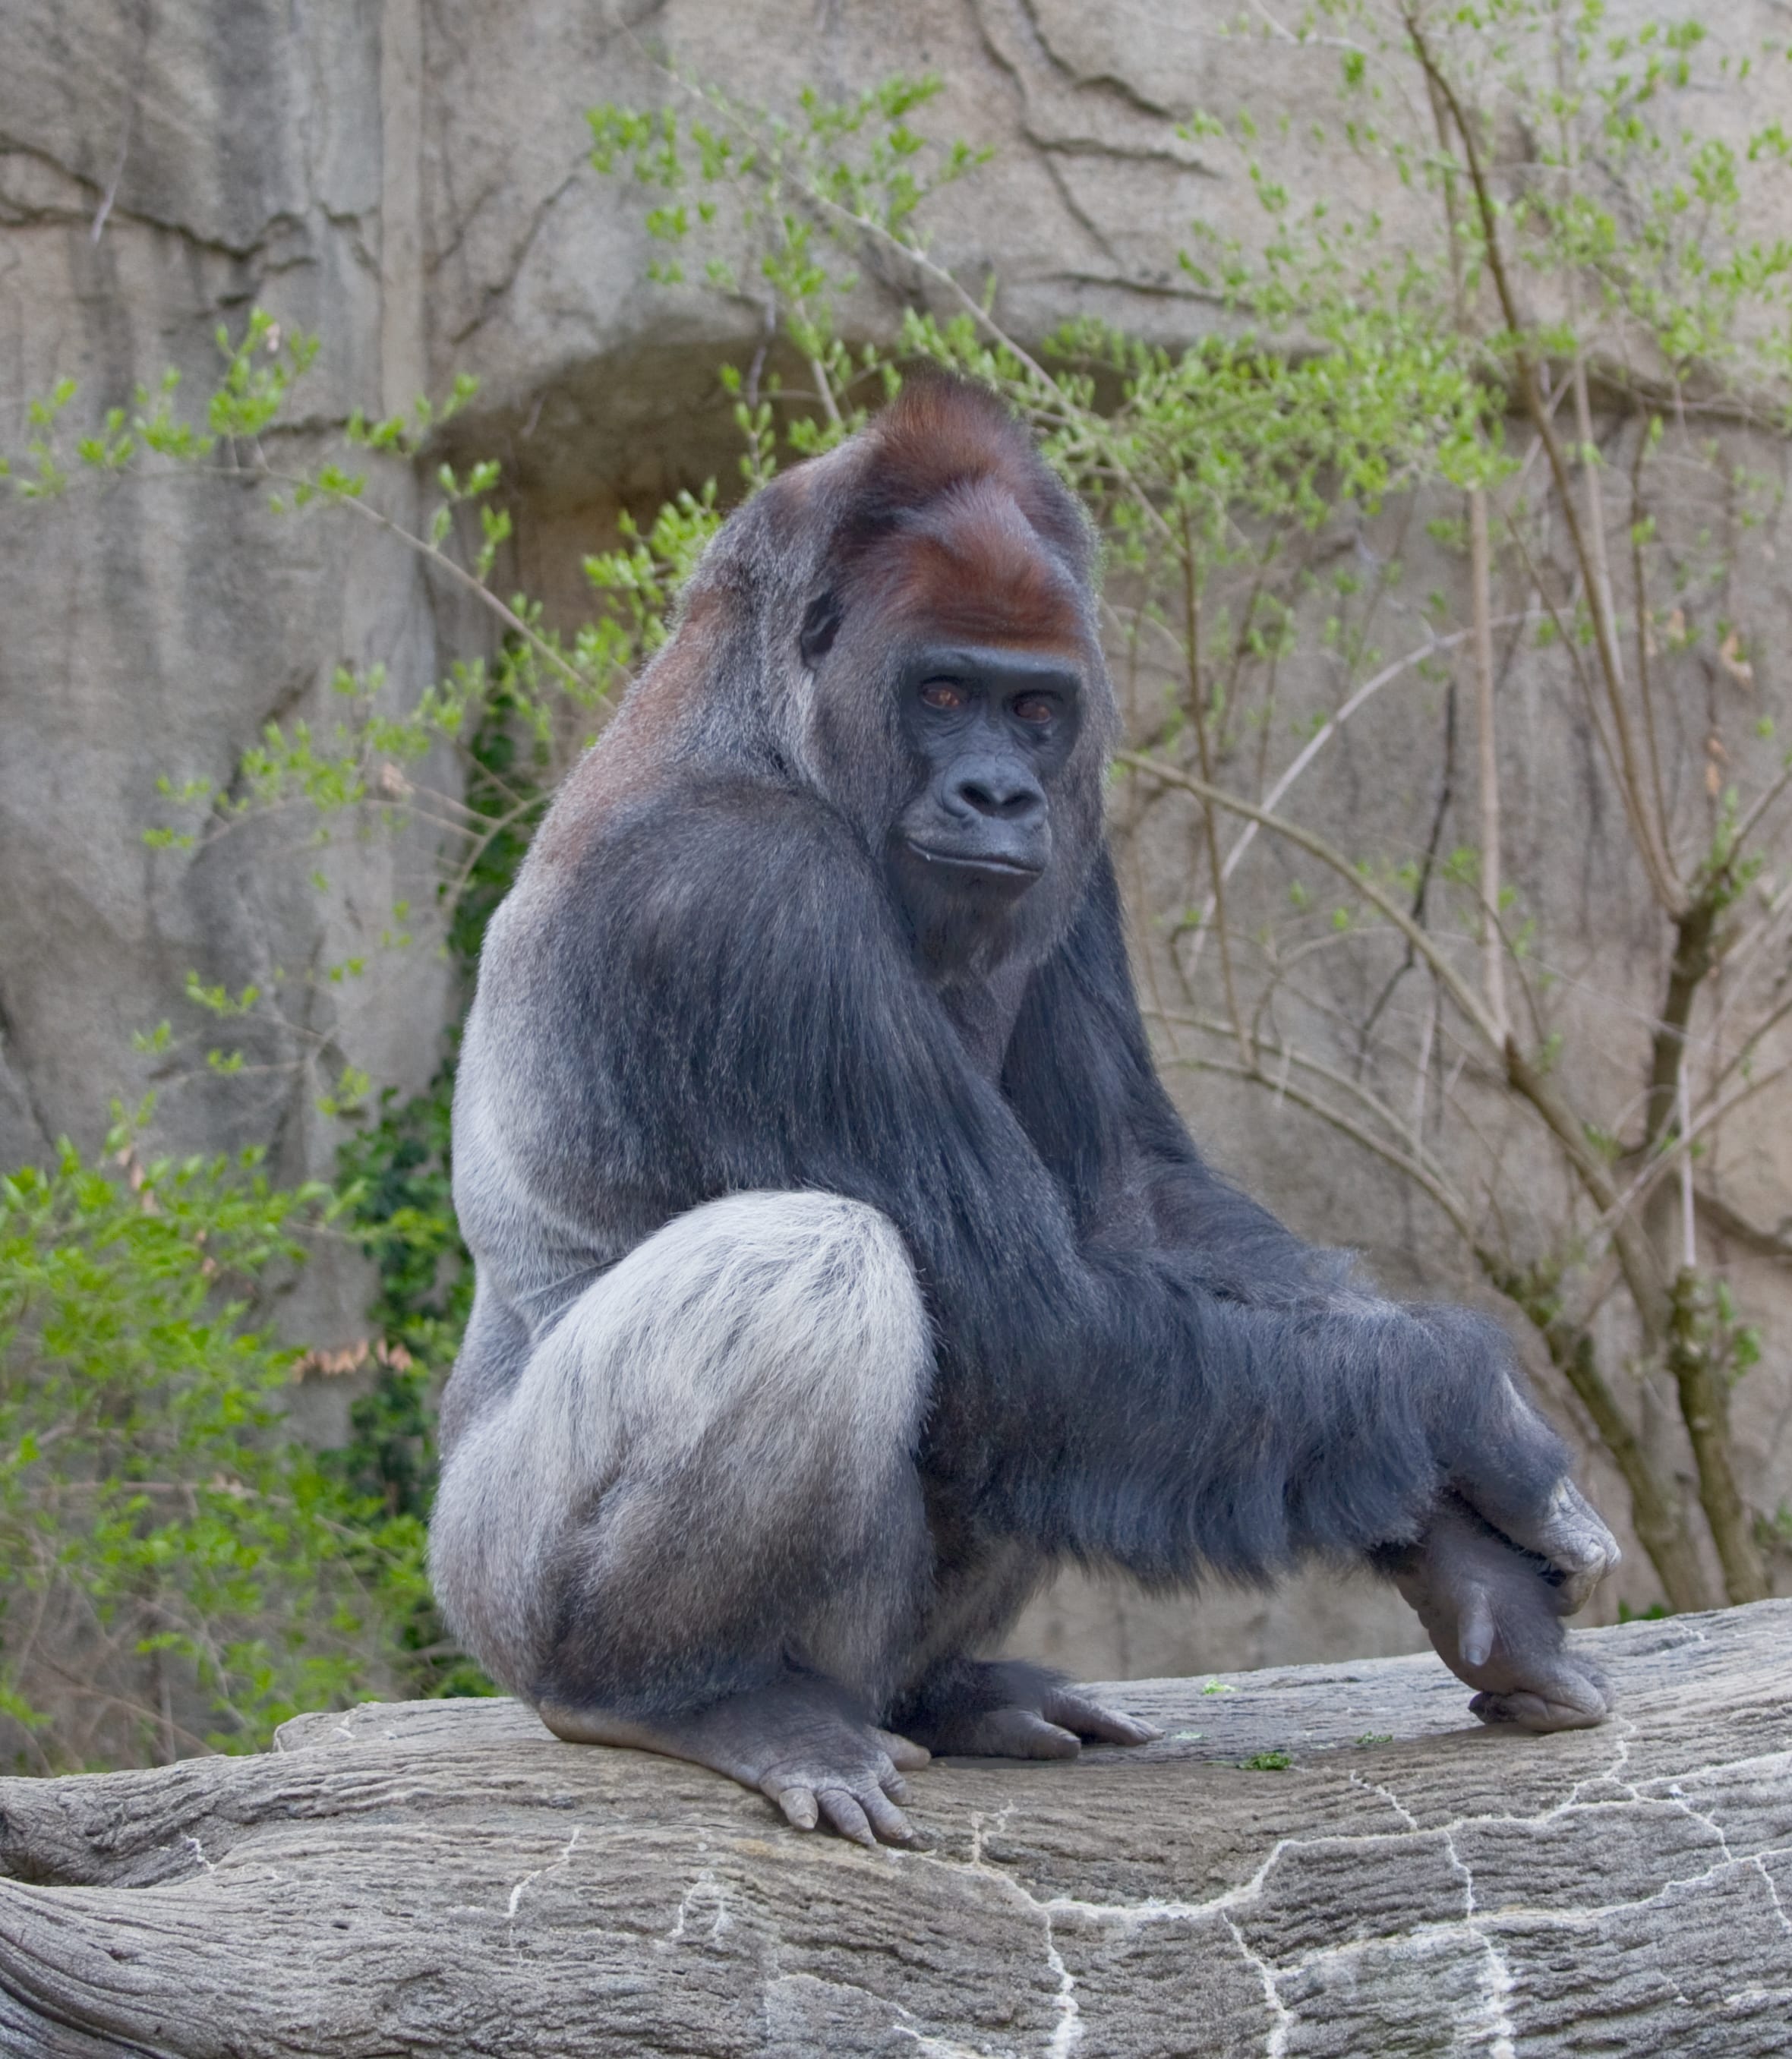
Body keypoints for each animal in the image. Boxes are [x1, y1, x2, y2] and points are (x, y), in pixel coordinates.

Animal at [429, 374, 1619, 1848]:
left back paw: (950, 1694)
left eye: (1037, 709)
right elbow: (1030, 1314)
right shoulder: (734, 900)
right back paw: (673, 1694)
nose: (997, 793)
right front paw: (1480, 1430)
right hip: (488, 1587)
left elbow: (1125, 1213)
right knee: (813, 1263)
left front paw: (1466, 1556)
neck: (759, 711)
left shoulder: (1082, 839)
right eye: (944, 692)